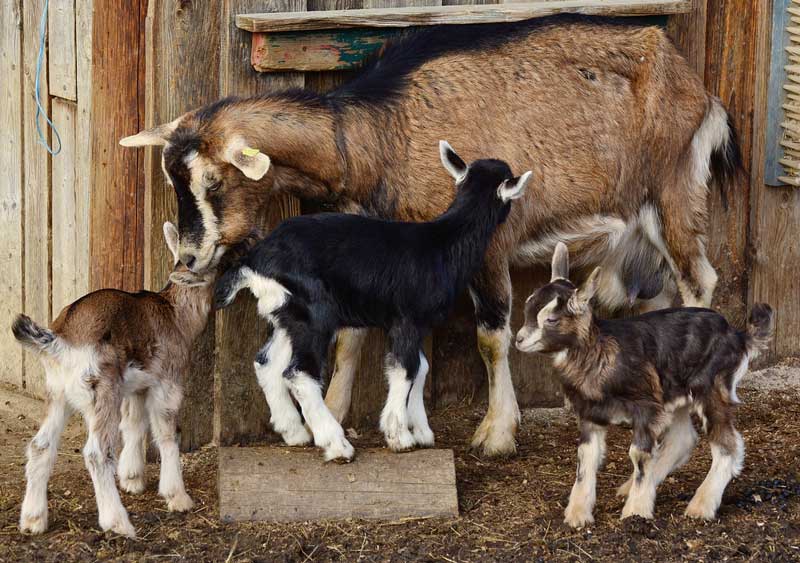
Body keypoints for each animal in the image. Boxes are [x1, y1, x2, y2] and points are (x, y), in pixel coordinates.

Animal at [12, 223, 213, 538]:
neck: (175, 314)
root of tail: (60, 341)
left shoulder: (136, 386)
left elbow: (133, 424)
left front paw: (132, 479)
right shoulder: (168, 382)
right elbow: (167, 433)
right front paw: (177, 497)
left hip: (57, 393)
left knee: (40, 445)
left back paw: (33, 520)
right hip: (102, 390)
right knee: (97, 453)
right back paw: (117, 522)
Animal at [213, 143, 531, 460]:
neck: (443, 242)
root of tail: (255, 261)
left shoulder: (413, 324)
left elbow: (421, 368)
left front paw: (422, 431)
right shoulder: (407, 319)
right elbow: (406, 369)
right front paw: (398, 436)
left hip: (287, 316)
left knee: (266, 363)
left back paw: (294, 432)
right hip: (314, 315)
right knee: (299, 373)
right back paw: (336, 444)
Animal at [515, 242, 773, 527]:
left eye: (551, 319)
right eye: (527, 309)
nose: (519, 340)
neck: (600, 353)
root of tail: (738, 336)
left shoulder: (646, 408)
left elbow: (638, 455)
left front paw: (636, 511)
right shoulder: (591, 414)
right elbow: (586, 458)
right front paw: (578, 514)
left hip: (711, 388)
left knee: (728, 445)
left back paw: (701, 505)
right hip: (675, 395)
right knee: (683, 438)